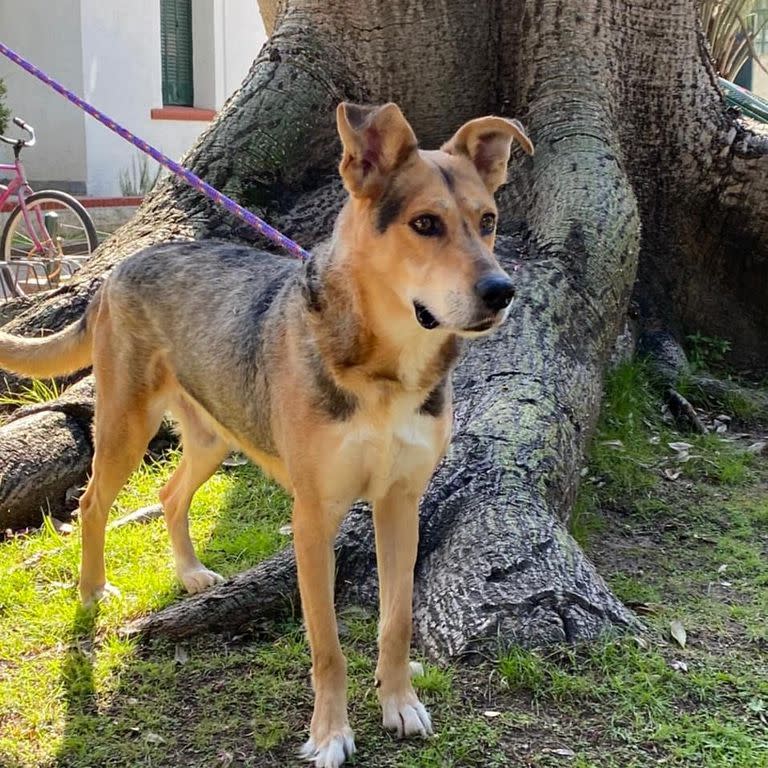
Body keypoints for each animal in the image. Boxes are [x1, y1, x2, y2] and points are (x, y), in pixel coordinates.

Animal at [0, 103, 532, 768]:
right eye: (426, 224)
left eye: (488, 222)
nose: (502, 293)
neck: (385, 369)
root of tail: (117, 268)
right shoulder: (314, 517)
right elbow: (327, 646)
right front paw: (330, 734)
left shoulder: (400, 504)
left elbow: (396, 622)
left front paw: (399, 704)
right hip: (127, 427)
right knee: (93, 503)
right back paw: (93, 590)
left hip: (214, 437)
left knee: (170, 494)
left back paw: (191, 574)